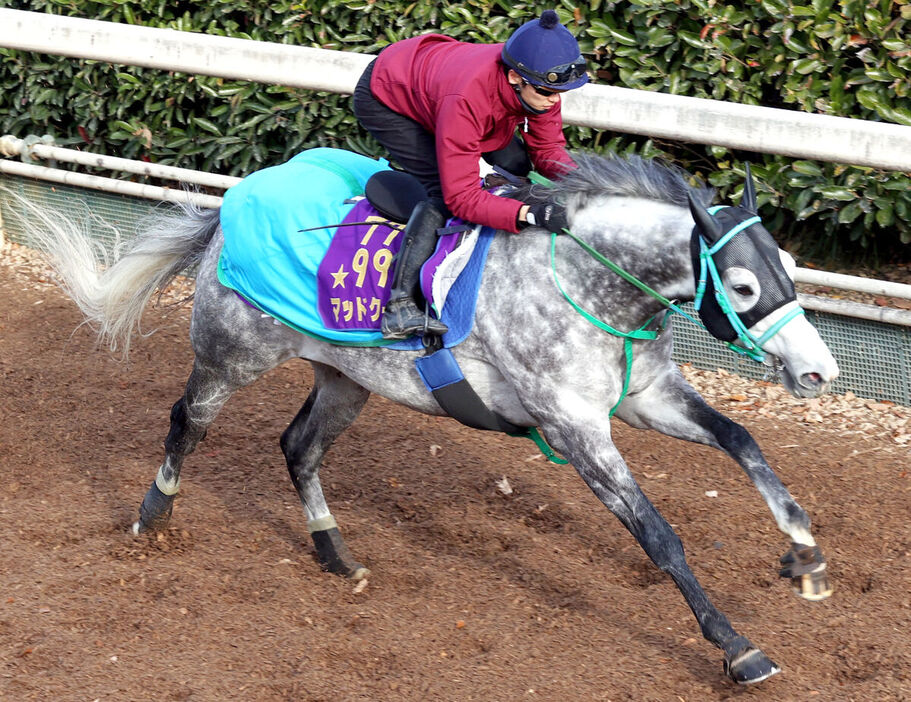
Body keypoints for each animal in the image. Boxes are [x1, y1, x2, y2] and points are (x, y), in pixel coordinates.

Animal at [16, 153, 840, 688]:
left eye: (788, 269)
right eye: (742, 284)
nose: (818, 372)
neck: (582, 280)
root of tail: (230, 204)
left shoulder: (647, 397)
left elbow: (742, 439)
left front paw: (801, 549)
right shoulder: (574, 426)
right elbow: (660, 537)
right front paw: (736, 647)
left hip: (345, 378)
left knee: (298, 445)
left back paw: (335, 552)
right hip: (233, 355)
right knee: (188, 420)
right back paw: (154, 515)